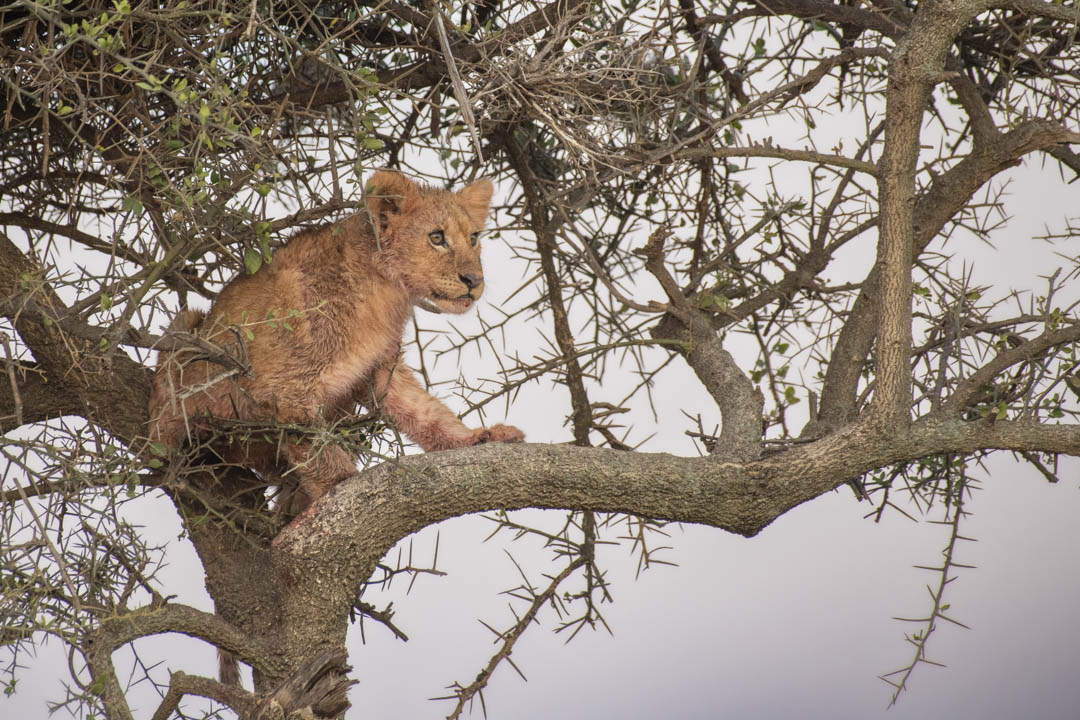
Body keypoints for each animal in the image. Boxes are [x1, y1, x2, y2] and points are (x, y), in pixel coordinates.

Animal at [147, 170, 525, 513]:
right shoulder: (285, 388)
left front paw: (475, 438)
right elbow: (319, 450)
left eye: (473, 238)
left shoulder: (381, 367)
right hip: (185, 332)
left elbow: (426, 412)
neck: (386, 293)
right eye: (436, 237)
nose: (474, 280)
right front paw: (342, 483)